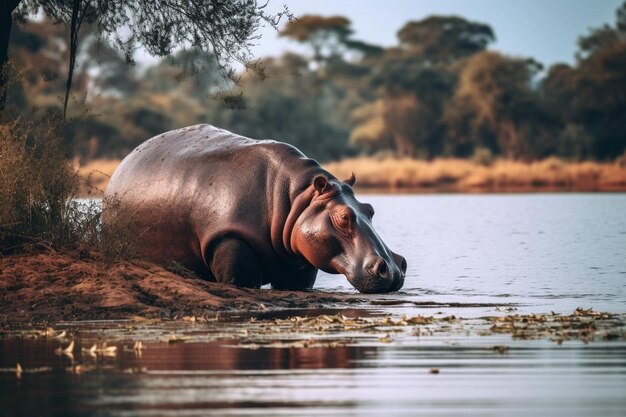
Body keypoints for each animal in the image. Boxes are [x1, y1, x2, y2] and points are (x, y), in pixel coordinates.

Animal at [103, 123, 404, 292]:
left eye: (370, 209)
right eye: (343, 216)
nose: (394, 270)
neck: (296, 200)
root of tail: (123, 163)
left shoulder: (302, 264)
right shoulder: (229, 238)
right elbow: (239, 279)